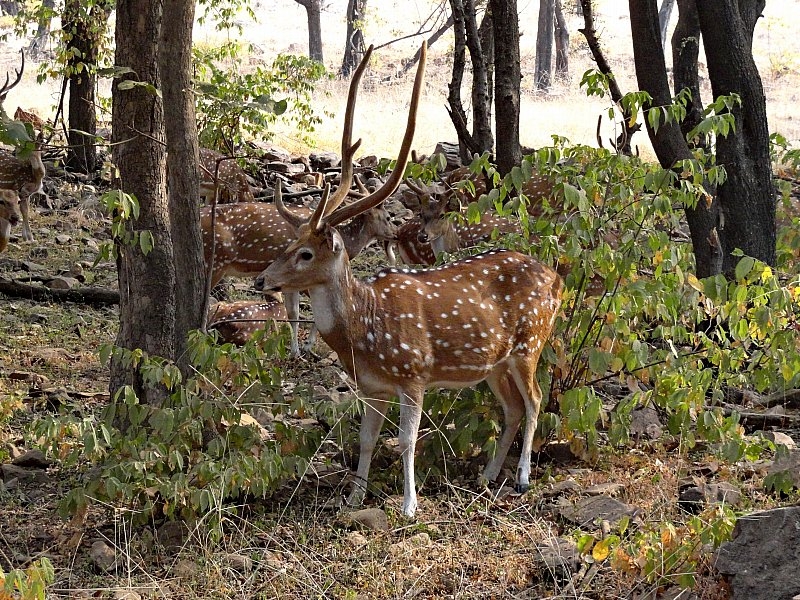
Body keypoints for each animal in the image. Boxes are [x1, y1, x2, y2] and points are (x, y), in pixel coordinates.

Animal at [255, 43, 564, 520]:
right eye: (289, 244)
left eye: (306, 253)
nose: (262, 280)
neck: (363, 331)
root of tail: (556, 279)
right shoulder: (371, 386)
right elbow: (366, 439)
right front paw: (354, 497)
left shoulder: (414, 372)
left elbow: (405, 441)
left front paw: (409, 505)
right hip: (493, 363)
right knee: (512, 408)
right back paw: (487, 475)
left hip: (530, 341)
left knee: (534, 400)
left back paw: (523, 478)